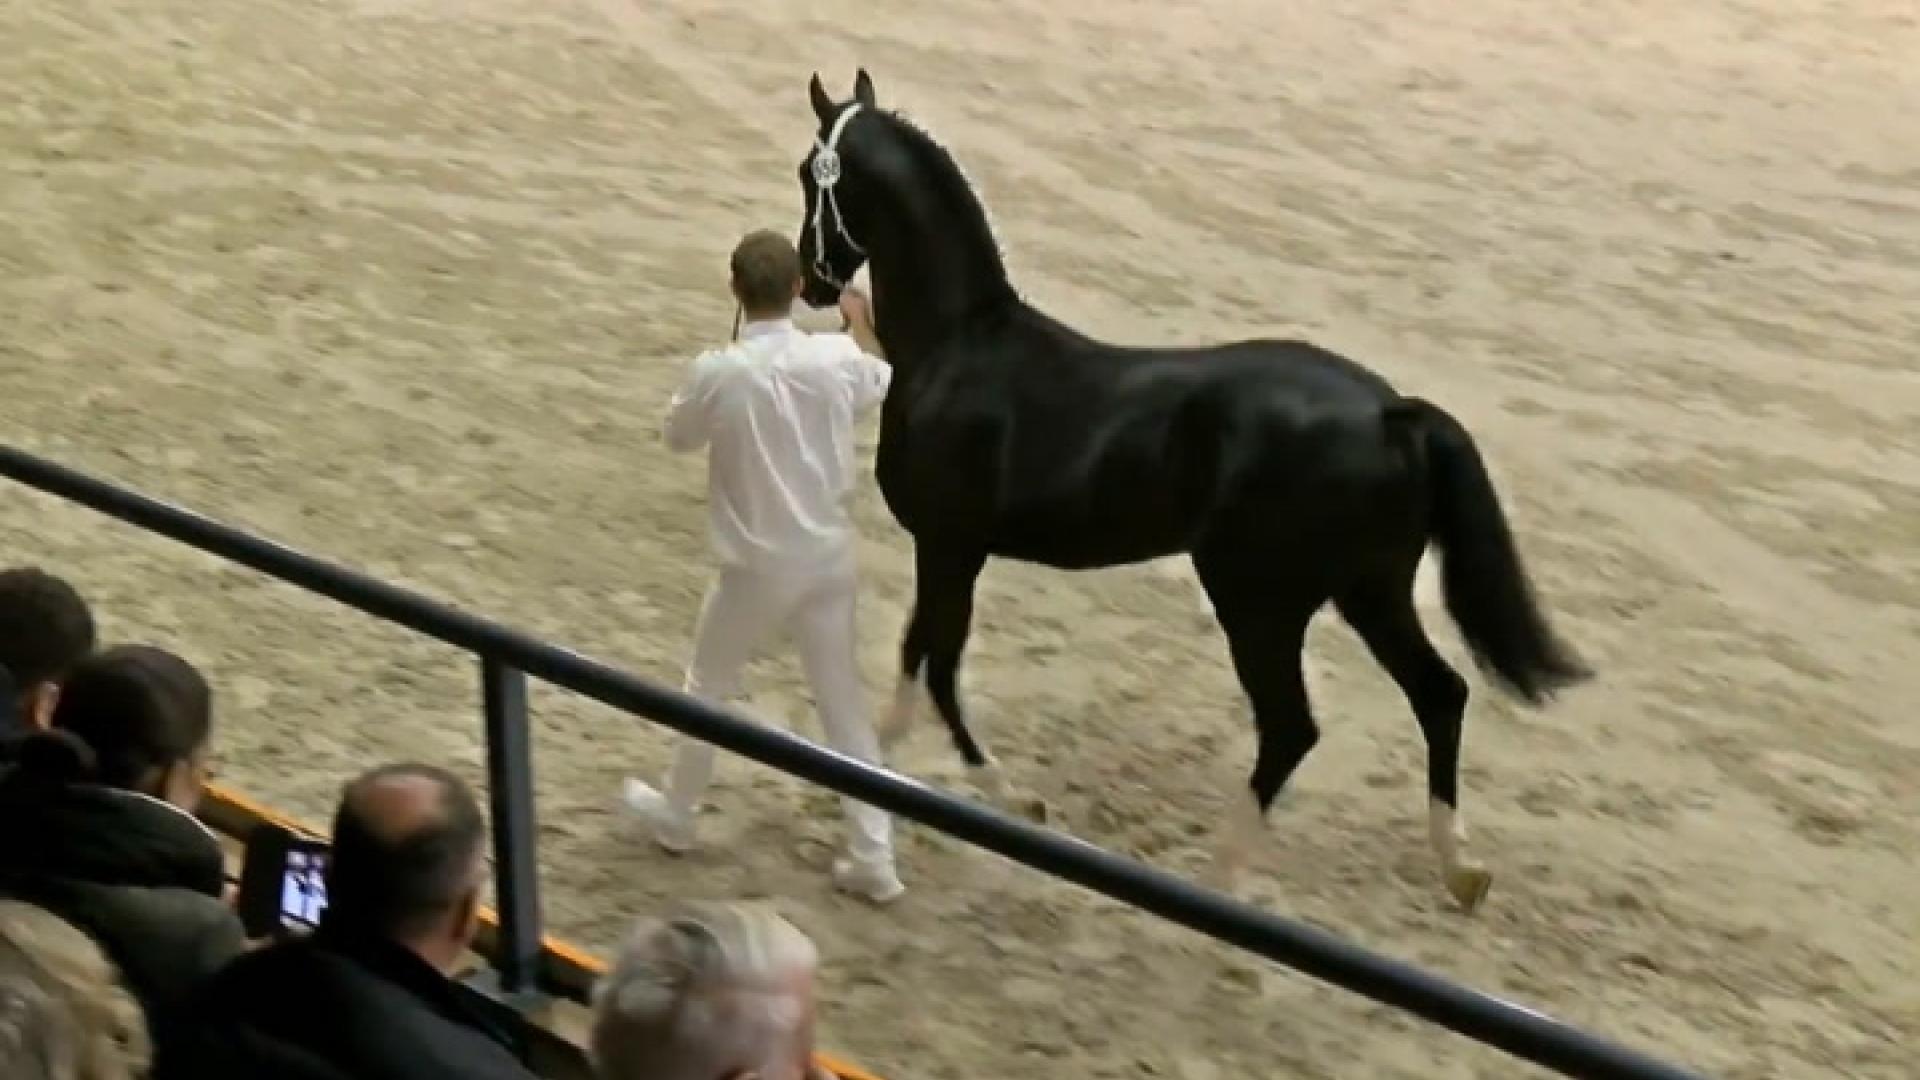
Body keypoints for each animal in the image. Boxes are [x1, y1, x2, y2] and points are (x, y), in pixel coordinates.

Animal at [794, 70, 1591, 910]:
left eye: (809, 173)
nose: (811, 280)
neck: (957, 348)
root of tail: (1390, 411)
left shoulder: (950, 545)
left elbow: (938, 666)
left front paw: (1003, 798)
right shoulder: (954, 549)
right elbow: (922, 659)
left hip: (1261, 604)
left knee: (1294, 726)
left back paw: (1221, 877)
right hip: (1369, 593)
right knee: (1440, 694)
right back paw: (1460, 868)